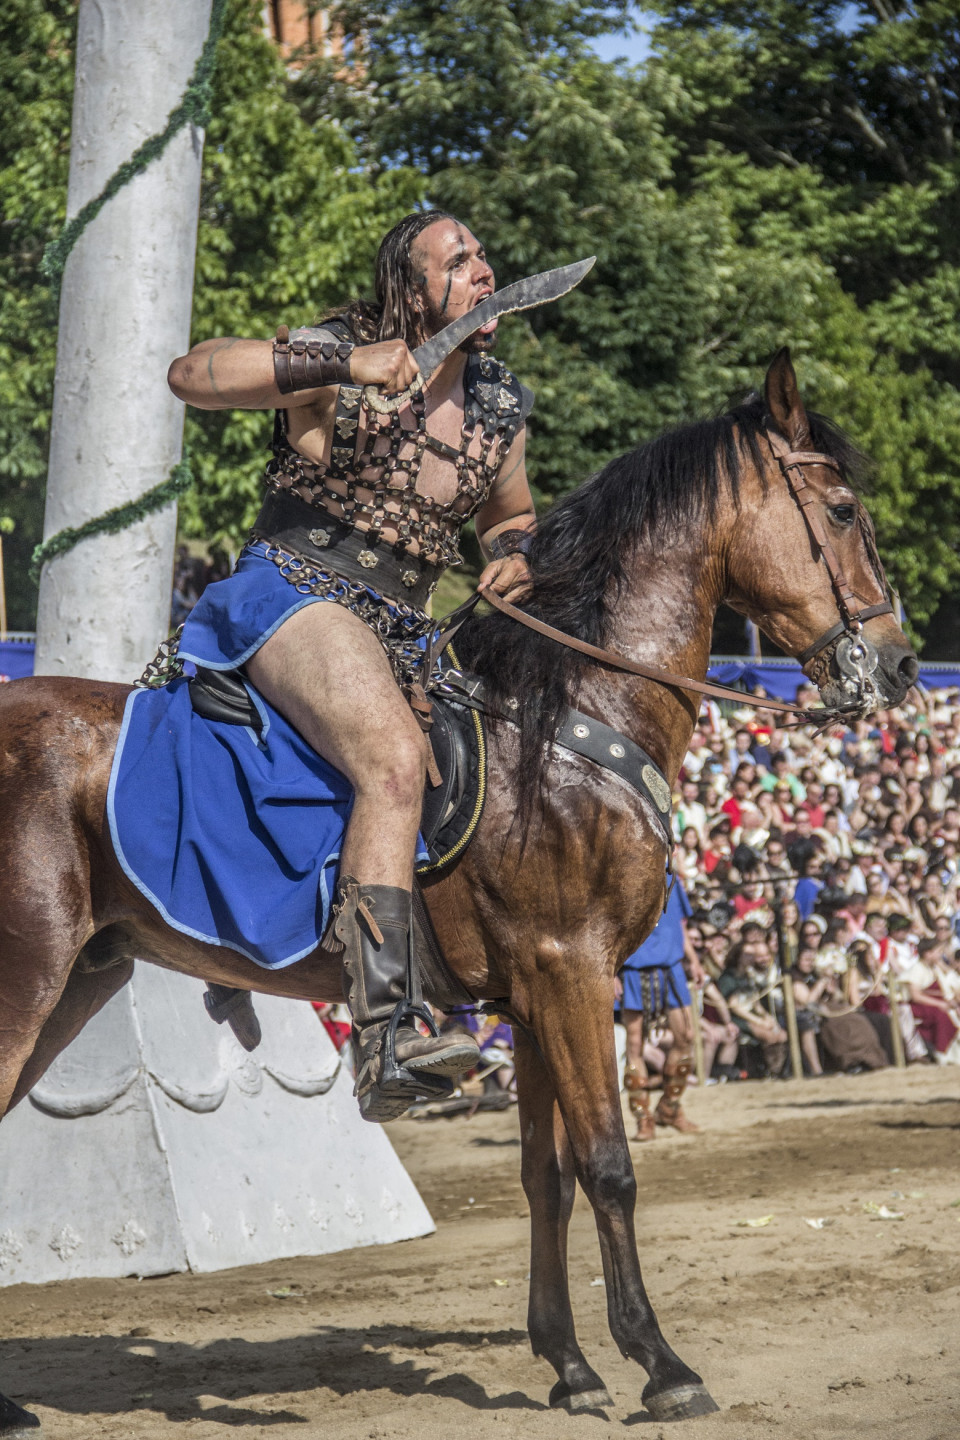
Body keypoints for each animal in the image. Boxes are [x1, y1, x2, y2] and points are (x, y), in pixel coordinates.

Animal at [0, 351, 915, 1428]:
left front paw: (570, 1364)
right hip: (28, 977)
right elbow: (608, 1167)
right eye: (844, 509)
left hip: (81, 978)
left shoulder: (532, 996)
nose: (900, 663)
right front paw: (661, 1364)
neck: (563, 718)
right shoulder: (573, 973)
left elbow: (545, 1177)